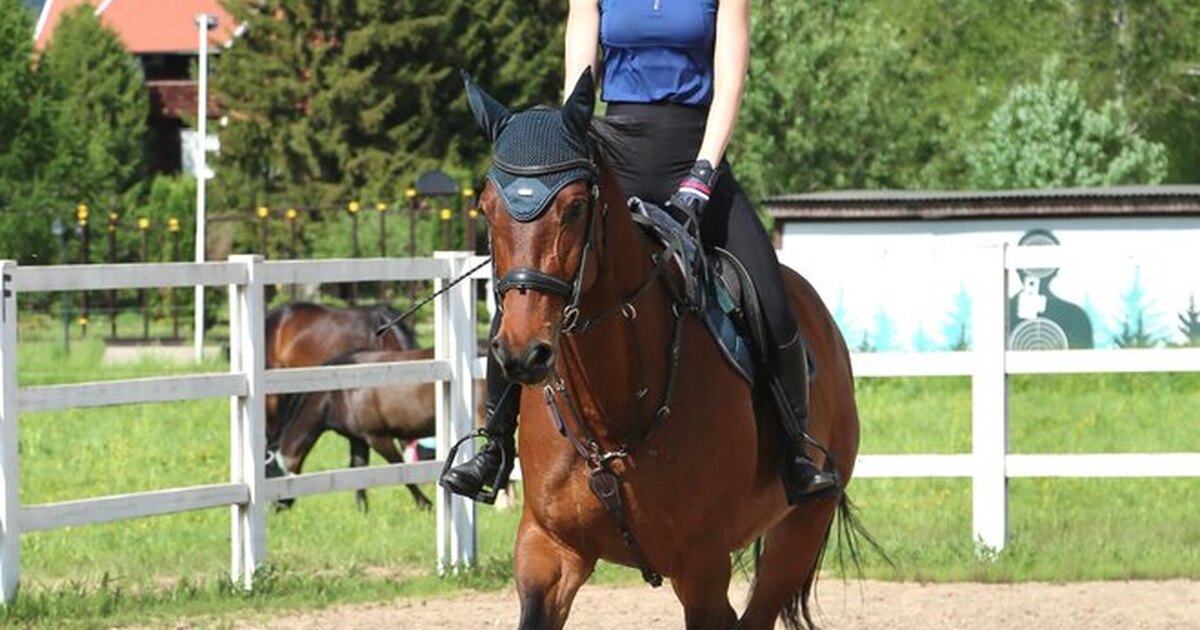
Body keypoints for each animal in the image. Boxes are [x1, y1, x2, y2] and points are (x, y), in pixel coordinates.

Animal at [266, 348, 487, 511]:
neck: (337, 394)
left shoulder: (378, 437)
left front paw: (425, 504)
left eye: (269, 473)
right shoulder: (358, 440)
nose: (276, 508)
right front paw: (362, 510)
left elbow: (400, 467)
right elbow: (358, 469)